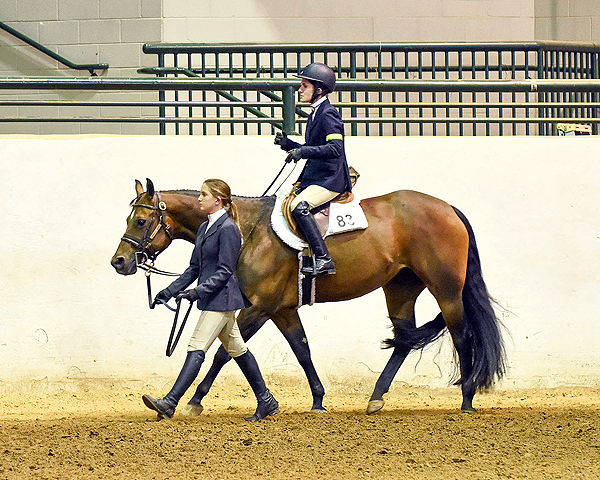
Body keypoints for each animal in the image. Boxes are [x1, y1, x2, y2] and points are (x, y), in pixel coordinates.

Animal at [110, 178, 504, 414]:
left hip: (446, 291)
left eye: (141, 221)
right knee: (405, 339)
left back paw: (467, 397)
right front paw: (317, 400)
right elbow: (301, 351)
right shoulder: (282, 310)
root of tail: (447, 207)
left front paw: (193, 401)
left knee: (462, 336)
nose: (120, 261)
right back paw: (376, 397)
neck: (248, 230)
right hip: (400, 289)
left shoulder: (260, 307)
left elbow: (225, 354)